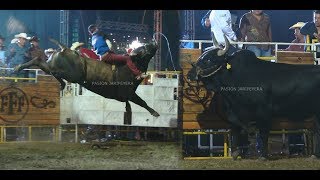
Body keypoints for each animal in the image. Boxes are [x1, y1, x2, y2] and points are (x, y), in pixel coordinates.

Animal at [14, 39, 160, 124]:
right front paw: (155, 112)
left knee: (39, 61)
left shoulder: (127, 96)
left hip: (57, 68)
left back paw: (19, 67)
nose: (153, 42)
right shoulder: (128, 93)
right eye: (143, 48)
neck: (130, 66)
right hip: (70, 74)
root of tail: (66, 49)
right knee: (52, 70)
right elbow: (142, 102)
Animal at [188, 35, 320, 160]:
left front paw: (263, 155)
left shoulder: (264, 110)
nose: (190, 74)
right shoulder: (235, 109)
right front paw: (236, 152)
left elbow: (263, 132)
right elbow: (235, 124)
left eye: (209, 60)